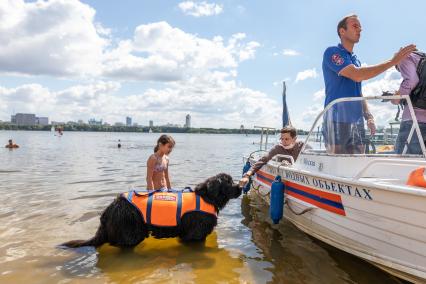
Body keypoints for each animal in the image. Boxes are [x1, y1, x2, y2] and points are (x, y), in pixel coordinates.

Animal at [61, 172, 241, 247]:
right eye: (229, 182)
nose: (241, 187)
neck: (207, 197)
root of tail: (109, 209)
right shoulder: (194, 235)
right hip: (131, 232)